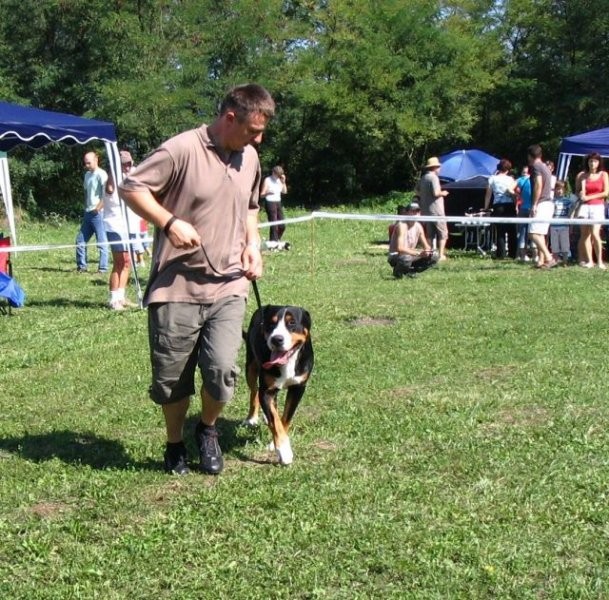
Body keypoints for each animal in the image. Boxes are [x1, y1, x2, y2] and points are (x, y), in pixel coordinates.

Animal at [243, 304, 314, 464]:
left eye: (292, 323)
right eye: (271, 324)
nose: (277, 339)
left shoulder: (298, 388)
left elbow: (285, 418)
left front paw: (274, 444)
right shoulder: (266, 391)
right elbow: (275, 421)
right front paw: (284, 450)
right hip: (250, 367)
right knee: (254, 391)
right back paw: (252, 418)